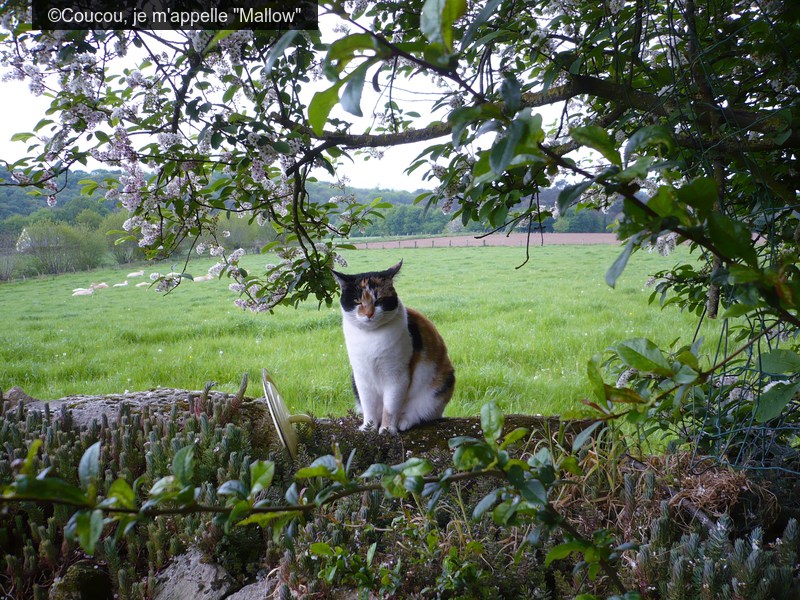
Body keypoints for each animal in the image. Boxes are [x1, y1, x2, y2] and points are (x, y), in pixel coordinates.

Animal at [331, 260, 455, 434]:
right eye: (357, 301)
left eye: (379, 300)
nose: (369, 314)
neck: (370, 337)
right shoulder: (361, 375)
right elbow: (368, 405)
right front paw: (368, 427)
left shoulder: (397, 376)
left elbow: (390, 407)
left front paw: (387, 429)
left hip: (440, 385)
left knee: (422, 413)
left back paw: (404, 422)